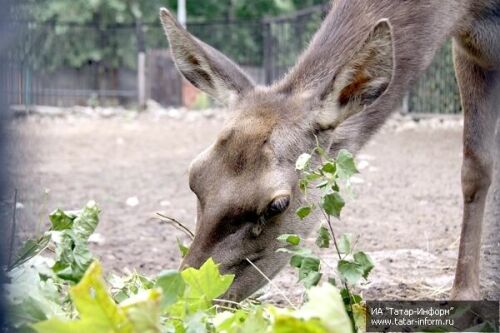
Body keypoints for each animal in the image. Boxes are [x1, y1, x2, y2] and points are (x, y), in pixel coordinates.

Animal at [158, 0, 498, 300]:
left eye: (277, 205)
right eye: (194, 176)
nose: (191, 294)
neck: (468, 10)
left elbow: (477, 169)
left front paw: (465, 295)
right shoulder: (469, 46)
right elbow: (475, 168)